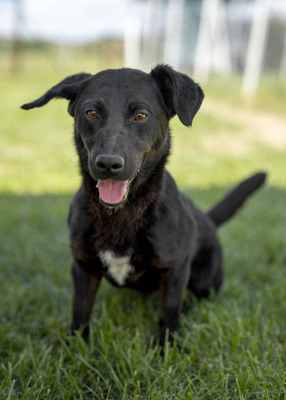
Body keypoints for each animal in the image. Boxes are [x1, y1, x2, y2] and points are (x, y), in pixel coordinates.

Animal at [21, 65, 266, 346]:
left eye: (141, 115)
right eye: (91, 113)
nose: (108, 164)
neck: (120, 215)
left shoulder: (175, 270)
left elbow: (169, 311)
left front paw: (169, 346)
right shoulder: (83, 266)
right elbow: (80, 309)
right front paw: (75, 344)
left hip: (205, 279)